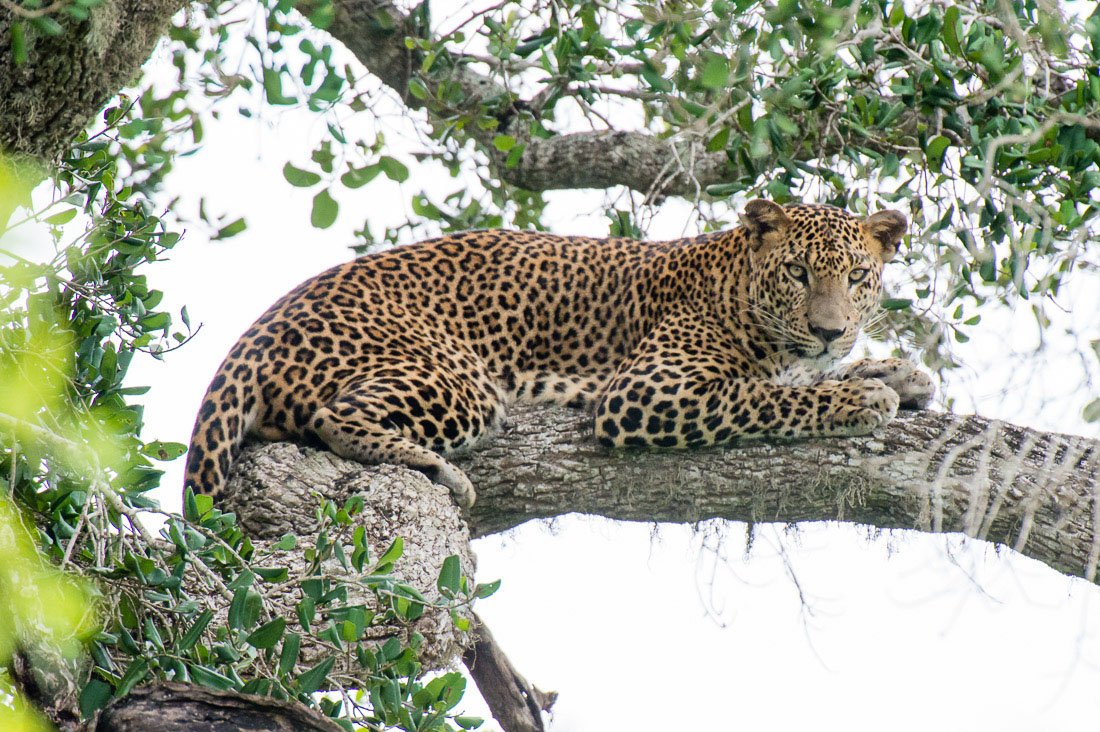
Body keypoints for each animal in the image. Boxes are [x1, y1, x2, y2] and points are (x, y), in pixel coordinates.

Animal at [184, 200, 932, 508]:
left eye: (857, 277)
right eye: (798, 273)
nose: (831, 330)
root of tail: (258, 330)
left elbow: (798, 376)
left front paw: (896, 371)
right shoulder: (646, 392)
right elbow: (766, 395)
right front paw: (864, 395)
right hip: (457, 380)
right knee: (335, 417)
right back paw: (435, 469)